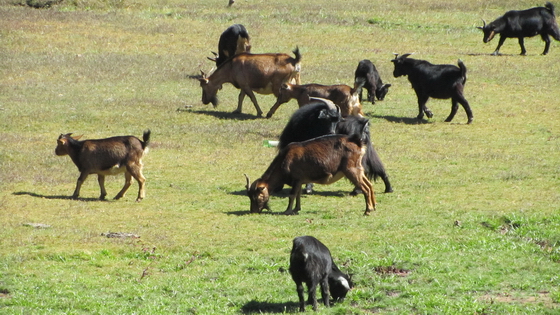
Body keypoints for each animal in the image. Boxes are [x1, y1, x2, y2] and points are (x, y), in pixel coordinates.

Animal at [245, 133, 376, 217]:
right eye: (249, 196)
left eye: (258, 196)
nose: (253, 211)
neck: (285, 159)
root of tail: (358, 142)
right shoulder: (300, 181)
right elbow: (298, 194)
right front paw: (297, 209)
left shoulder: (297, 178)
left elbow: (292, 195)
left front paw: (287, 211)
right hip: (358, 169)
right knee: (369, 185)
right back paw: (374, 206)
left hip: (351, 169)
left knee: (365, 187)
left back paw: (368, 211)